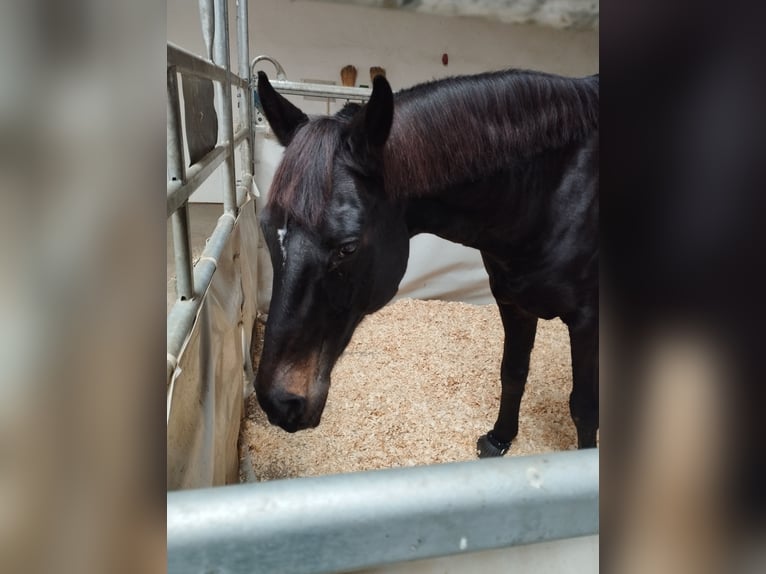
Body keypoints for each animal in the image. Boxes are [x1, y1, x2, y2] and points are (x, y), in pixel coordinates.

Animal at [255, 70, 596, 460]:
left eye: (348, 247)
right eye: (266, 229)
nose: (278, 402)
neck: (550, 195)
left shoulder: (587, 319)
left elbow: (584, 406)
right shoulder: (513, 303)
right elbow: (513, 372)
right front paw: (499, 439)